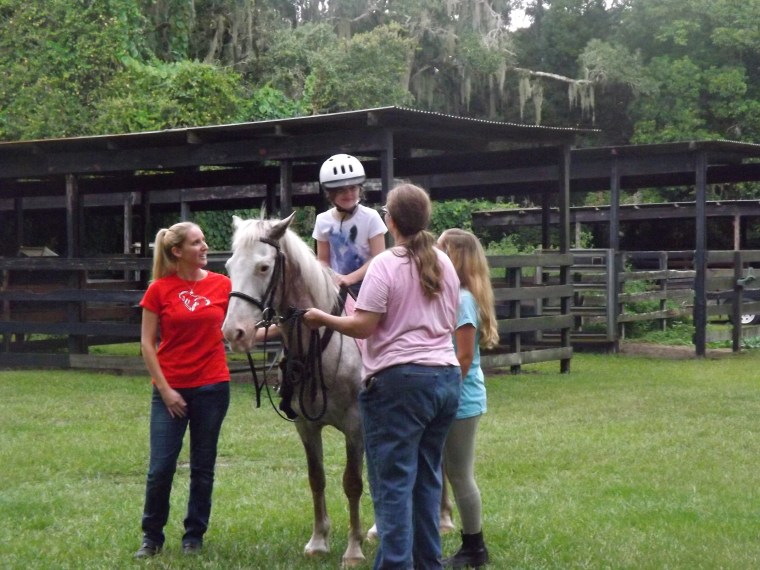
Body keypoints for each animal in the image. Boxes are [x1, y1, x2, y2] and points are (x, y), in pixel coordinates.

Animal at [221, 212, 366, 564]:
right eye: (229, 266)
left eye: (263, 267)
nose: (234, 332)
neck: (319, 342)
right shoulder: (305, 426)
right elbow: (317, 479)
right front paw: (318, 541)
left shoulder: (356, 426)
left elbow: (352, 483)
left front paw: (353, 549)